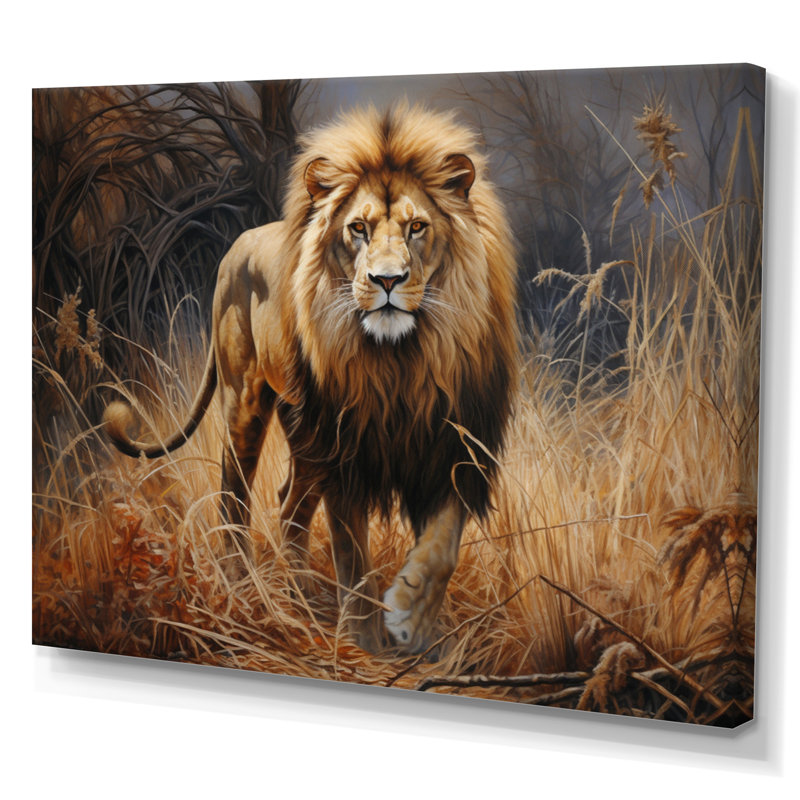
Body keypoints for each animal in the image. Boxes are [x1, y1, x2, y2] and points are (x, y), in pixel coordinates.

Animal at [104, 104, 518, 653]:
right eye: (358, 227)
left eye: (417, 227)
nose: (388, 280)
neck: (400, 363)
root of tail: (239, 242)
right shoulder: (346, 450)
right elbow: (353, 556)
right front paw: (364, 639)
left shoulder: (451, 445)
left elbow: (442, 544)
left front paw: (414, 620)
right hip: (247, 402)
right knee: (233, 495)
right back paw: (243, 586)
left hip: (304, 432)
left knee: (288, 507)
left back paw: (300, 594)